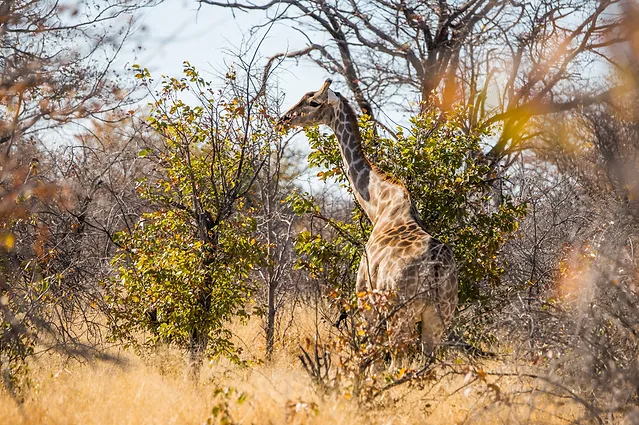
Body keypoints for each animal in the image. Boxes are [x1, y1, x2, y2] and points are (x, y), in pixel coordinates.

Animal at [278, 78, 458, 354]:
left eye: (314, 102)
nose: (284, 119)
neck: (379, 208)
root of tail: (434, 266)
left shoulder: (366, 302)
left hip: (401, 313)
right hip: (440, 318)